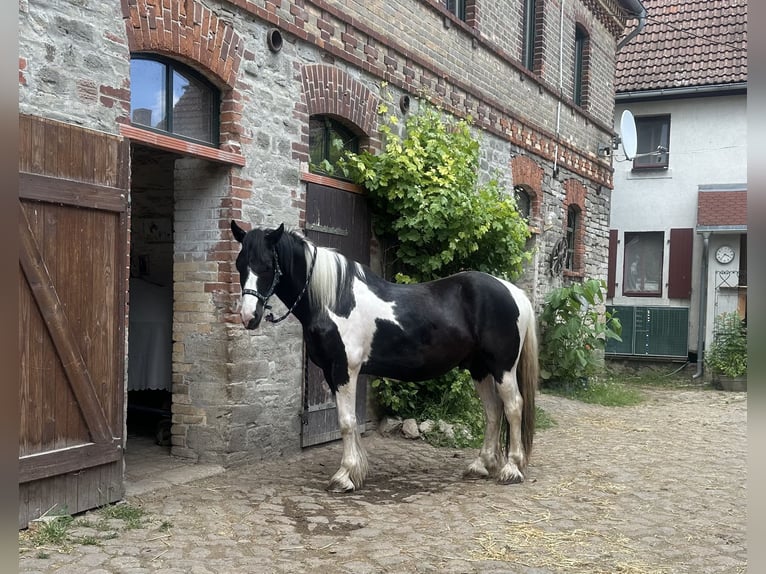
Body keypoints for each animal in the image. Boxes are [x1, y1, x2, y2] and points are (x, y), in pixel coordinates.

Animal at [231, 221, 539, 493]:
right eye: (240, 264)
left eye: (267, 266)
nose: (248, 316)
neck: (335, 300)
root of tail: (514, 293)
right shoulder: (332, 373)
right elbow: (349, 420)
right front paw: (356, 472)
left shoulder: (345, 369)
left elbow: (346, 422)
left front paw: (344, 476)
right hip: (480, 369)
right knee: (493, 411)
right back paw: (481, 465)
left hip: (502, 368)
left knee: (513, 407)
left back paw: (511, 469)